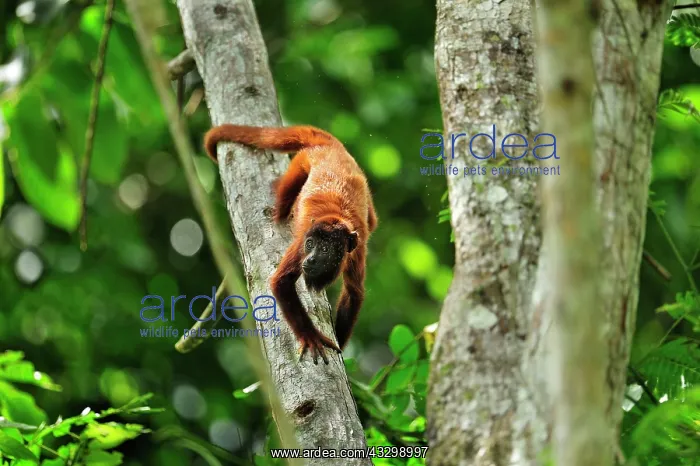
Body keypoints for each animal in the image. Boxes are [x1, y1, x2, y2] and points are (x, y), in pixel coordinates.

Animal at [204, 124, 378, 364]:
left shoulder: (356, 250)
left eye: (325, 249)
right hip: (301, 162)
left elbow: (354, 292)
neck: (337, 217)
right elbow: (281, 281)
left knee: (373, 220)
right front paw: (310, 336)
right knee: (288, 191)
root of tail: (332, 146)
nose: (311, 259)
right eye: (310, 244)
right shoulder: (299, 247)